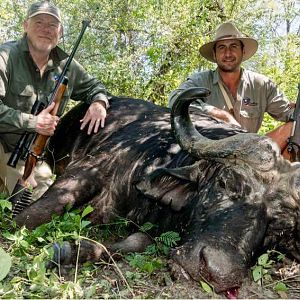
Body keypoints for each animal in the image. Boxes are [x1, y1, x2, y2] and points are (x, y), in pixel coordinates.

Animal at [14, 88, 300, 296]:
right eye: (225, 182)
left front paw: (69, 251)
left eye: (276, 227)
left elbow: (135, 242)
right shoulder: (88, 169)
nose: (217, 273)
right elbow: (35, 214)